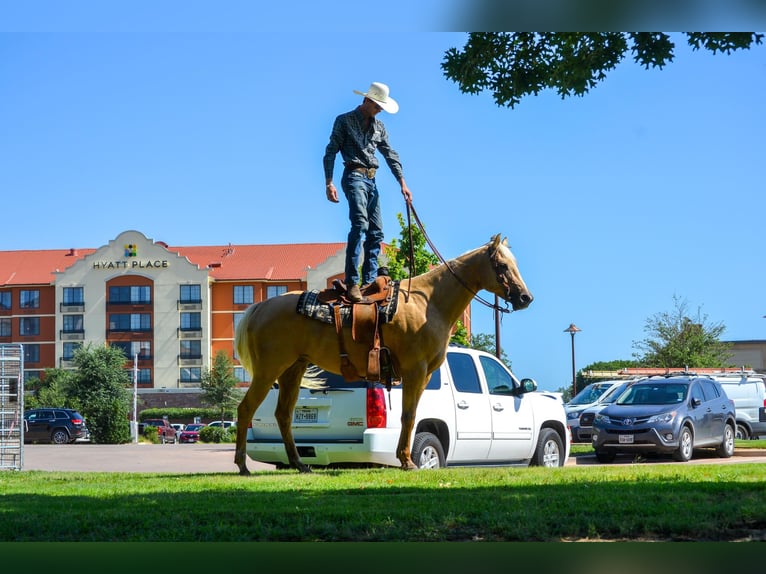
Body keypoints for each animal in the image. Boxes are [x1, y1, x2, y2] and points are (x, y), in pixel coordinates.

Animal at [234, 235, 536, 476]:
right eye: (502, 266)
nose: (525, 298)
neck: (428, 302)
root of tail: (261, 307)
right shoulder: (416, 370)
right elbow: (409, 415)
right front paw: (407, 461)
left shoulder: (425, 374)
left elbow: (410, 415)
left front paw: (405, 459)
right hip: (268, 370)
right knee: (246, 409)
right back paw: (243, 466)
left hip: (292, 370)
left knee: (283, 414)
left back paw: (299, 464)